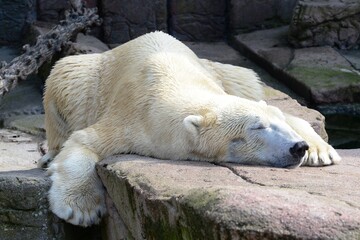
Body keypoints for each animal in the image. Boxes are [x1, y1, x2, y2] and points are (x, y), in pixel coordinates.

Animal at [39, 31, 340, 227]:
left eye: (275, 123)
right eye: (257, 127)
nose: (298, 147)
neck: (169, 83)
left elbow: (289, 114)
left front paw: (319, 150)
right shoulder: (128, 119)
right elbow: (83, 142)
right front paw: (81, 209)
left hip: (225, 73)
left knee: (246, 79)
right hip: (89, 79)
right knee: (63, 76)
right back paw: (48, 152)